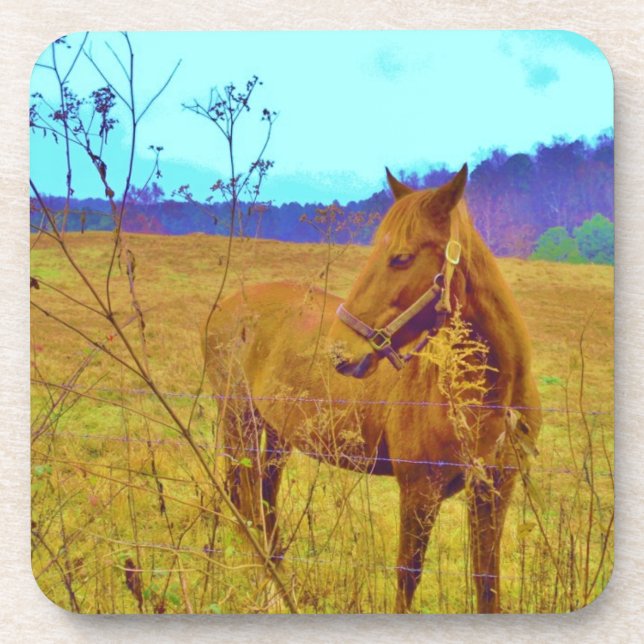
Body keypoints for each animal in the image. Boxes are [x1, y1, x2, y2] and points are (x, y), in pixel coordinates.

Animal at [203, 165, 542, 613]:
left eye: (401, 257)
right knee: (242, 499)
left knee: (263, 500)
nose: (340, 352)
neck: (486, 396)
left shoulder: (495, 491)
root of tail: (225, 307)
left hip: (275, 434)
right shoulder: (419, 491)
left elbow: (487, 583)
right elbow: (407, 577)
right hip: (239, 421)